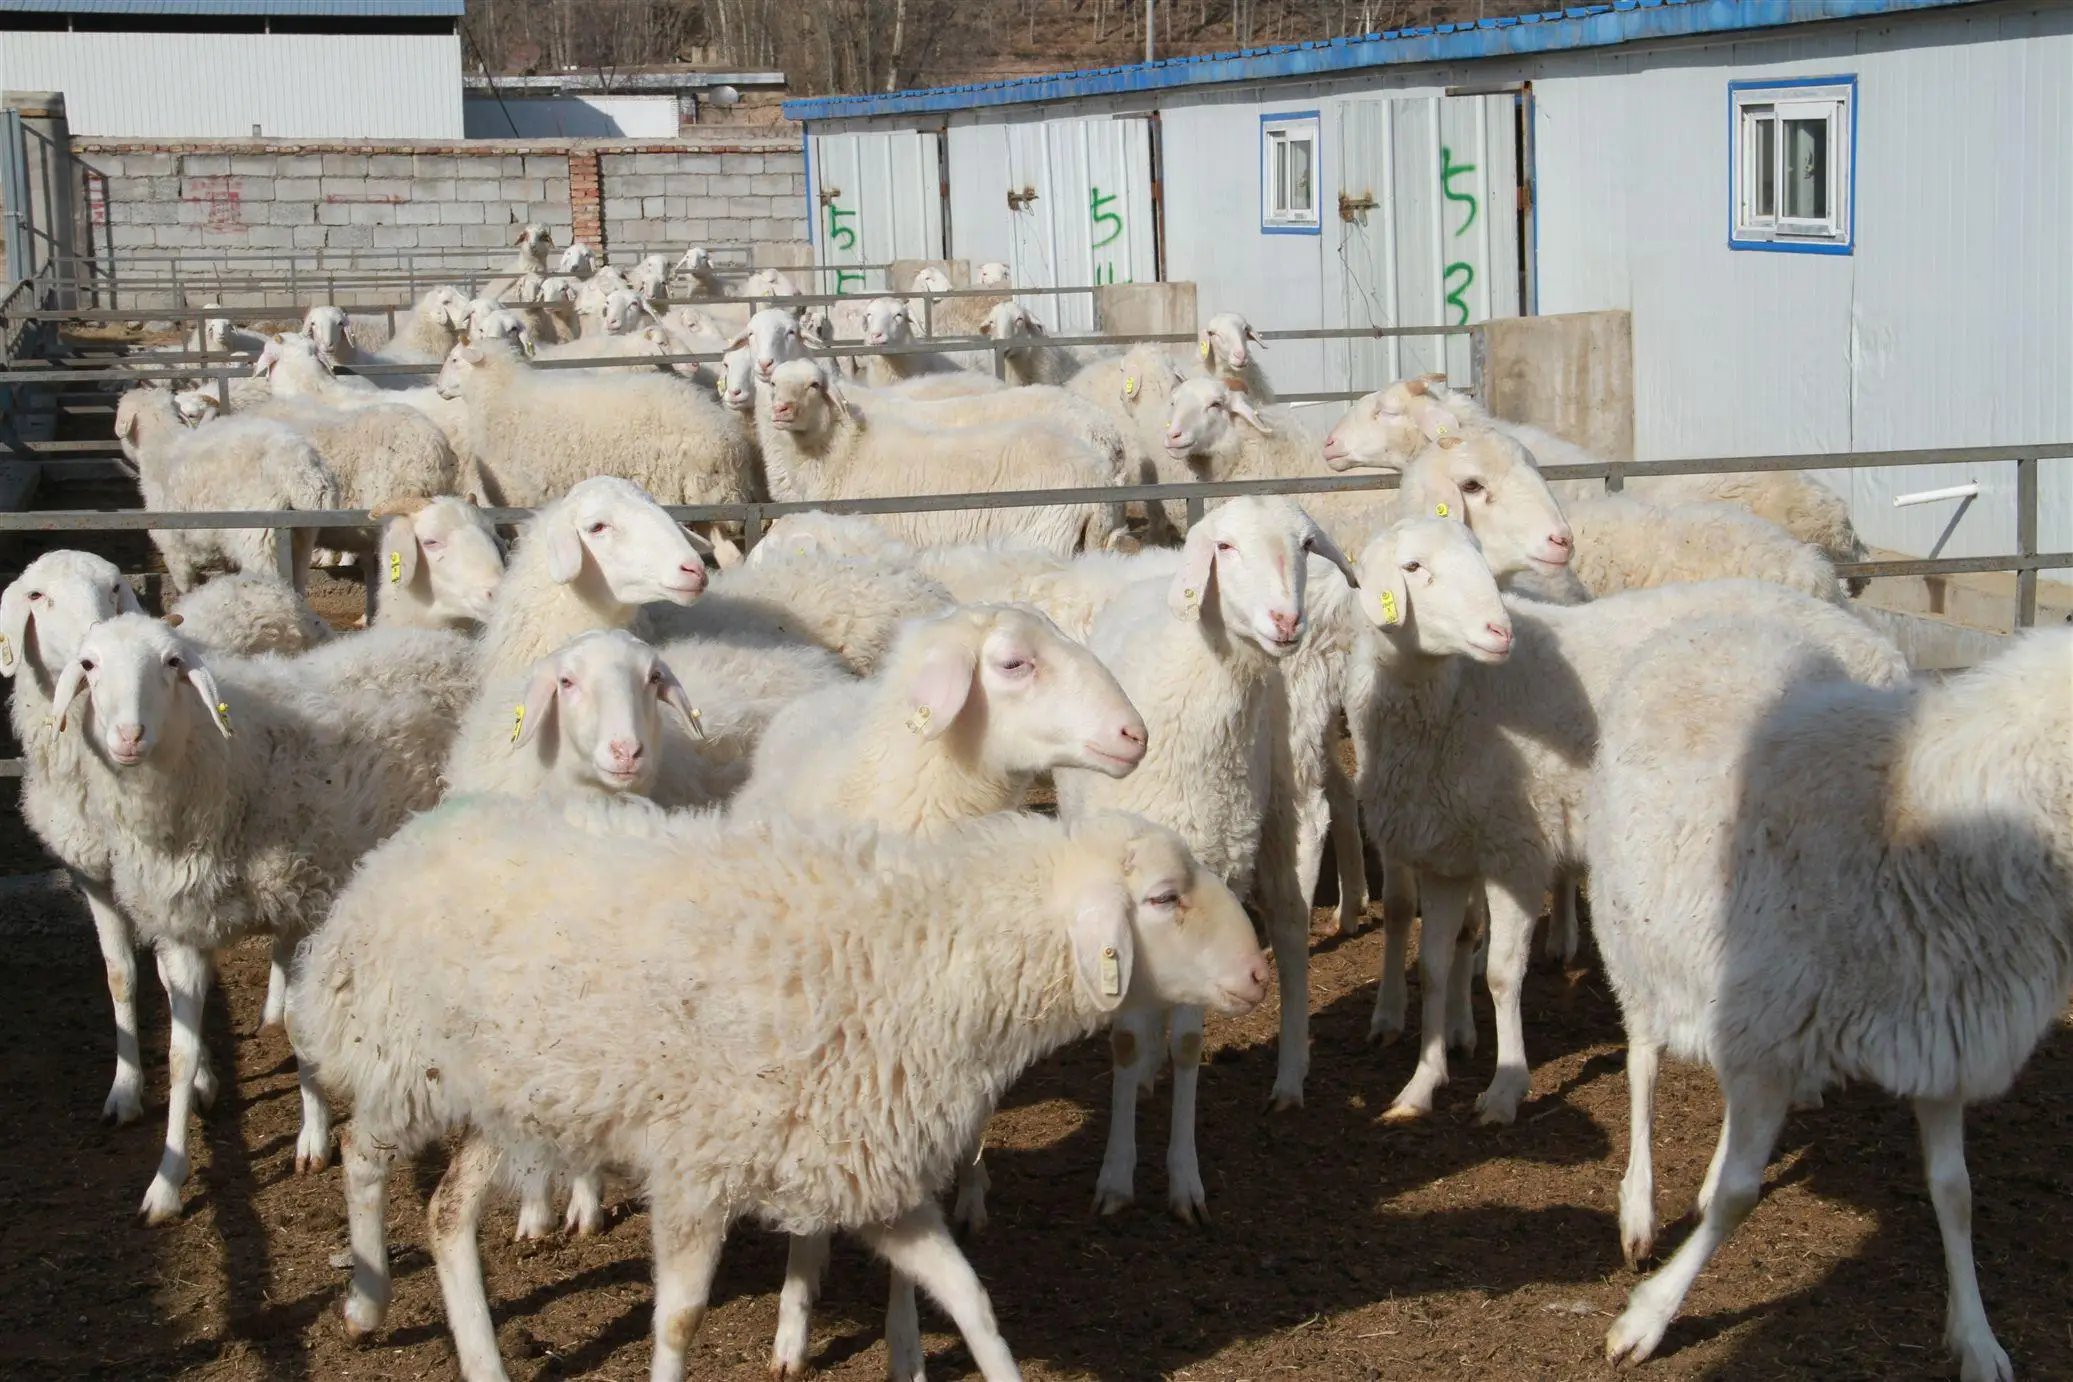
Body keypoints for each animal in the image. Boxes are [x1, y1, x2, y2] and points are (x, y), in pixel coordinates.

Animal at [288, 795, 1260, 1382]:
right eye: (1164, 898)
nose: (1256, 975)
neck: (924, 957)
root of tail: (406, 840)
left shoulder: (868, 1172)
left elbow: (968, 1297)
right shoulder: (695, 1168)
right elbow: (678, 1323)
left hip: (514, 1096)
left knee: (447, 1211)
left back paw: (482, 1358)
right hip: (404, 1060)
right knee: (362, 1154)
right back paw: (366, 1303)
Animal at [1053, 497, 1359, 1218]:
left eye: (1307, 545)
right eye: (1224, 547)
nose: (1286, 622)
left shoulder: (1217, 868)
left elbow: (1191, 1040)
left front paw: (1182, 1179)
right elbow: (1128, 1037)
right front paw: (1115, 1176)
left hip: (1289, 792)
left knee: (1289, 926)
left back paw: (1289, 1076)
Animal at [1343, 517, 1907, 1127]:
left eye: (1479, 558)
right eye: (1413, 567)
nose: (1500, 630)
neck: (1450, 695)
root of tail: (1880, 648)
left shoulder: (1515, 851)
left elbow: (1500, 974)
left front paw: (1504, 1088)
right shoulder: (1446, 854)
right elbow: (1434, 967)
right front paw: (1421, 1086)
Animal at [1575, 625, 2064, 1382]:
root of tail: (1716, 623)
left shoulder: (1937, 1035)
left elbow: (1955, 1193)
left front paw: (1977, 1337)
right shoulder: (1773, 1030)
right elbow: (1738, 1196)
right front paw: (1647, 1316)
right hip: (1631, 929)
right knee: (1643, 1062)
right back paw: (1638, 1207)